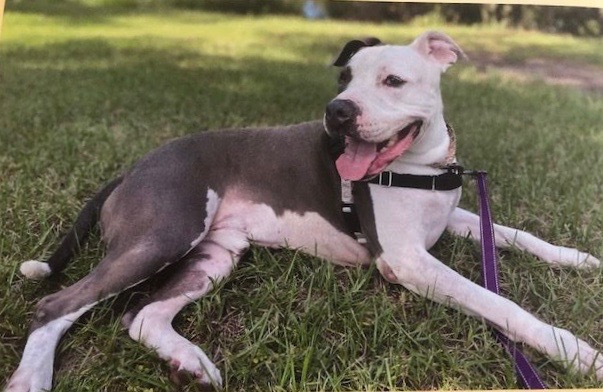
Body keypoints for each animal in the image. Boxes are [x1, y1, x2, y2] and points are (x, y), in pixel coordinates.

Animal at [5, 32, 603, 390]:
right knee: (57, 304)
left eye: (393, 80)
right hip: (165, 233)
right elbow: (498, 303)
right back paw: (32, 377)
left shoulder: (448, 219)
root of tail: (133, 168)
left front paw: (577, 259)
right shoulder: (408, 261)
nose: (337, 111)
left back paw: (188, 362)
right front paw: (575, 352)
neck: (420, 163)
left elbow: (515, 234)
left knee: (141, 316)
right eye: (344, 79)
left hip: (216, 252)